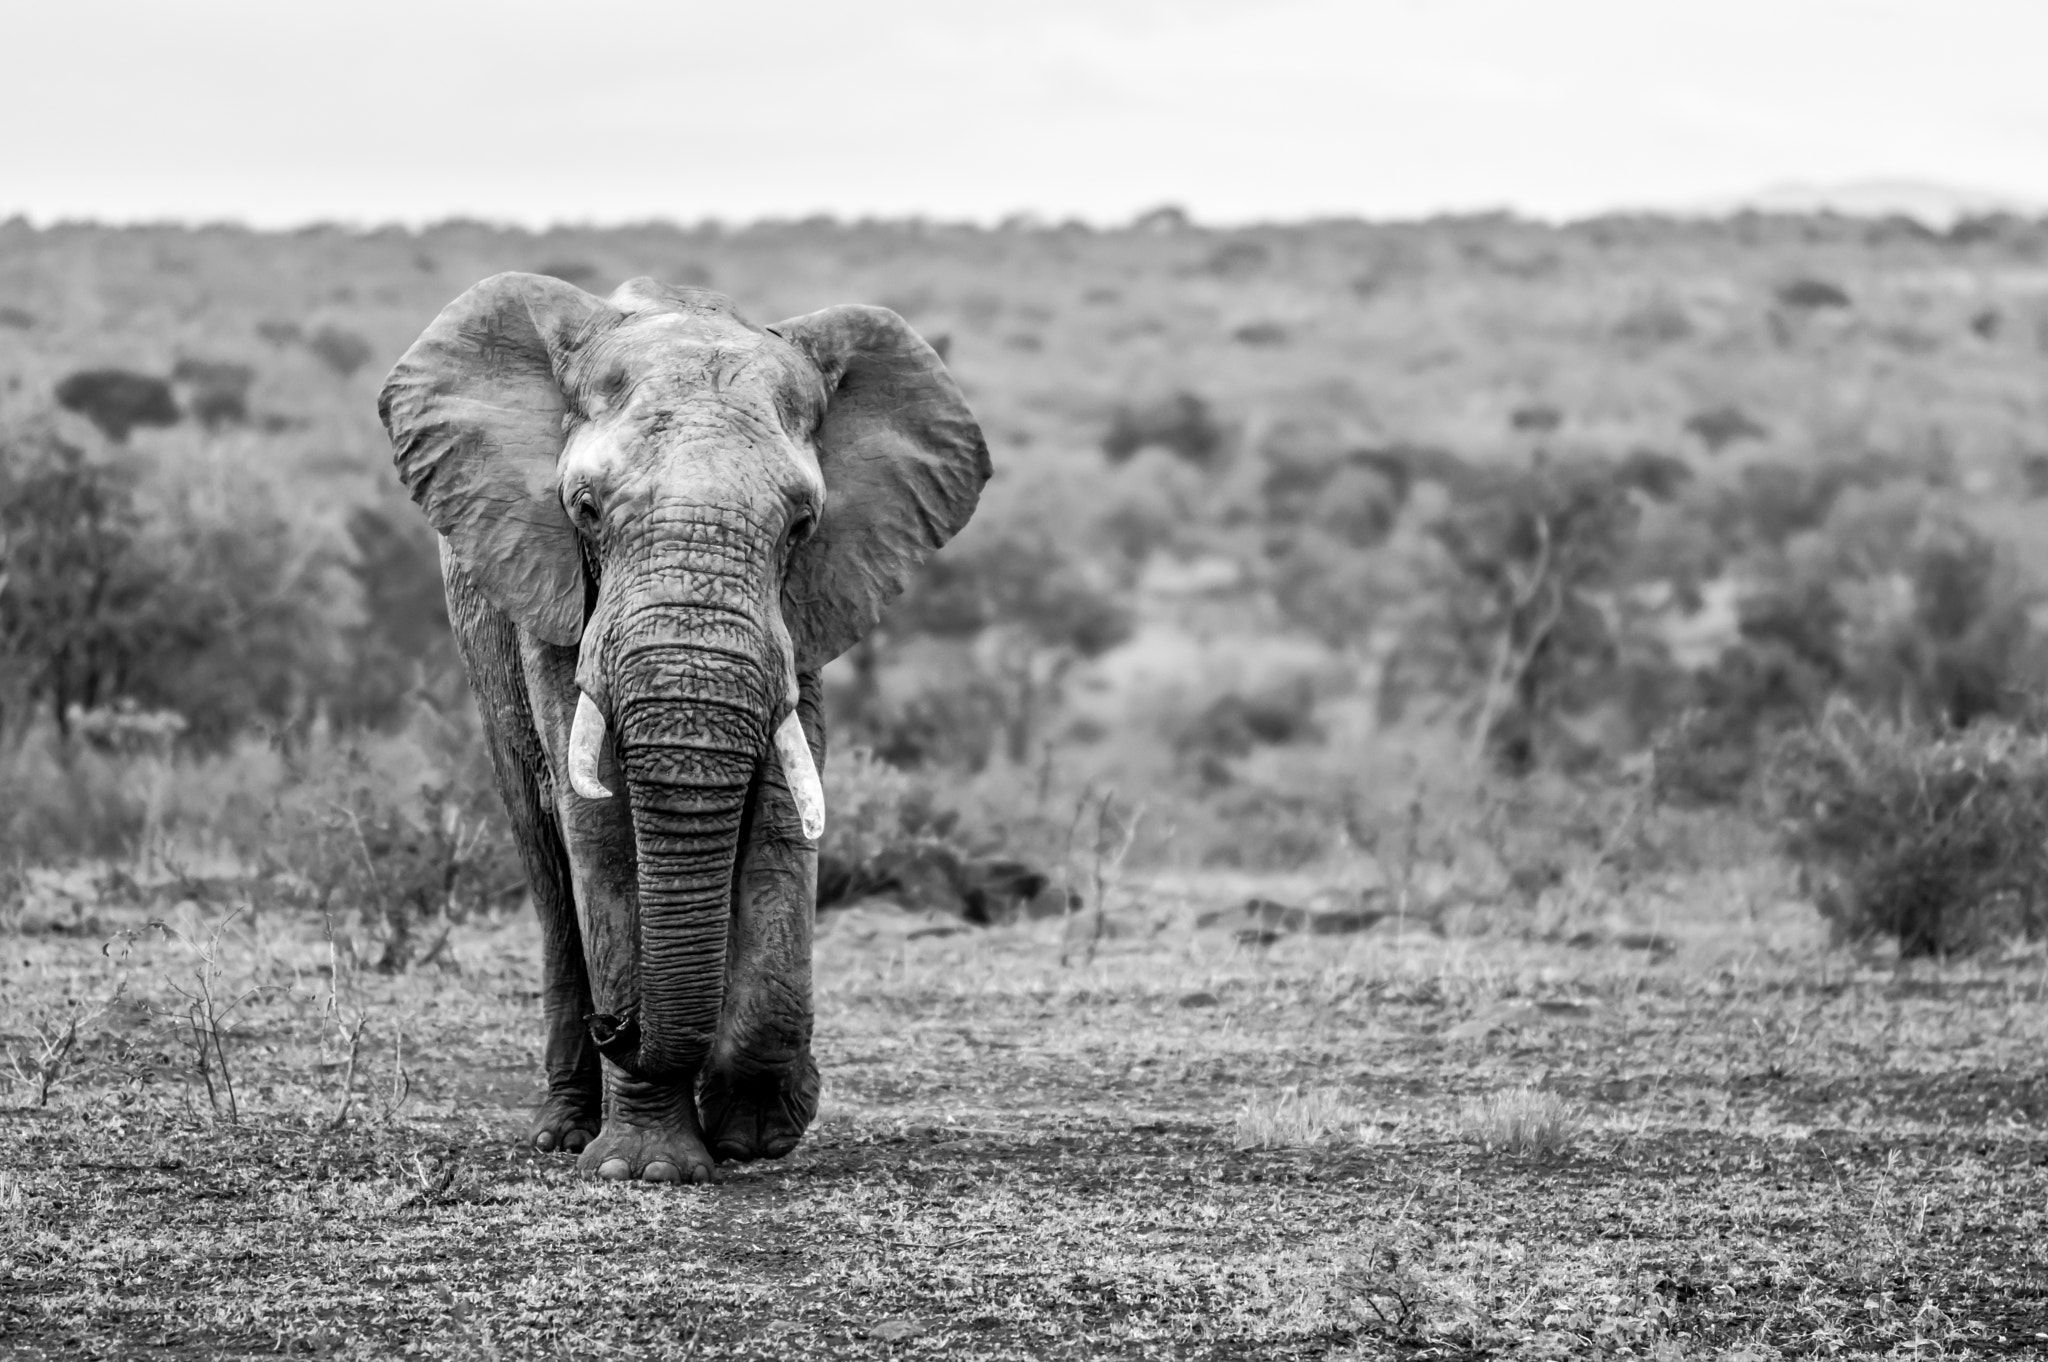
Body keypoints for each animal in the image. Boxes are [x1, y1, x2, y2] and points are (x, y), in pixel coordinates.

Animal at [387, 274, 995, 1179]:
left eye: (802, 526)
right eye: (586, 509)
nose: (621, 1028)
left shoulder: (802, 612)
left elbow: (780, 815)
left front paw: (757, 1129)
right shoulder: (554, 594)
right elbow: (599, 830)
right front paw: (644, 1168)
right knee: (544, 854)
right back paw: (564, 1130)